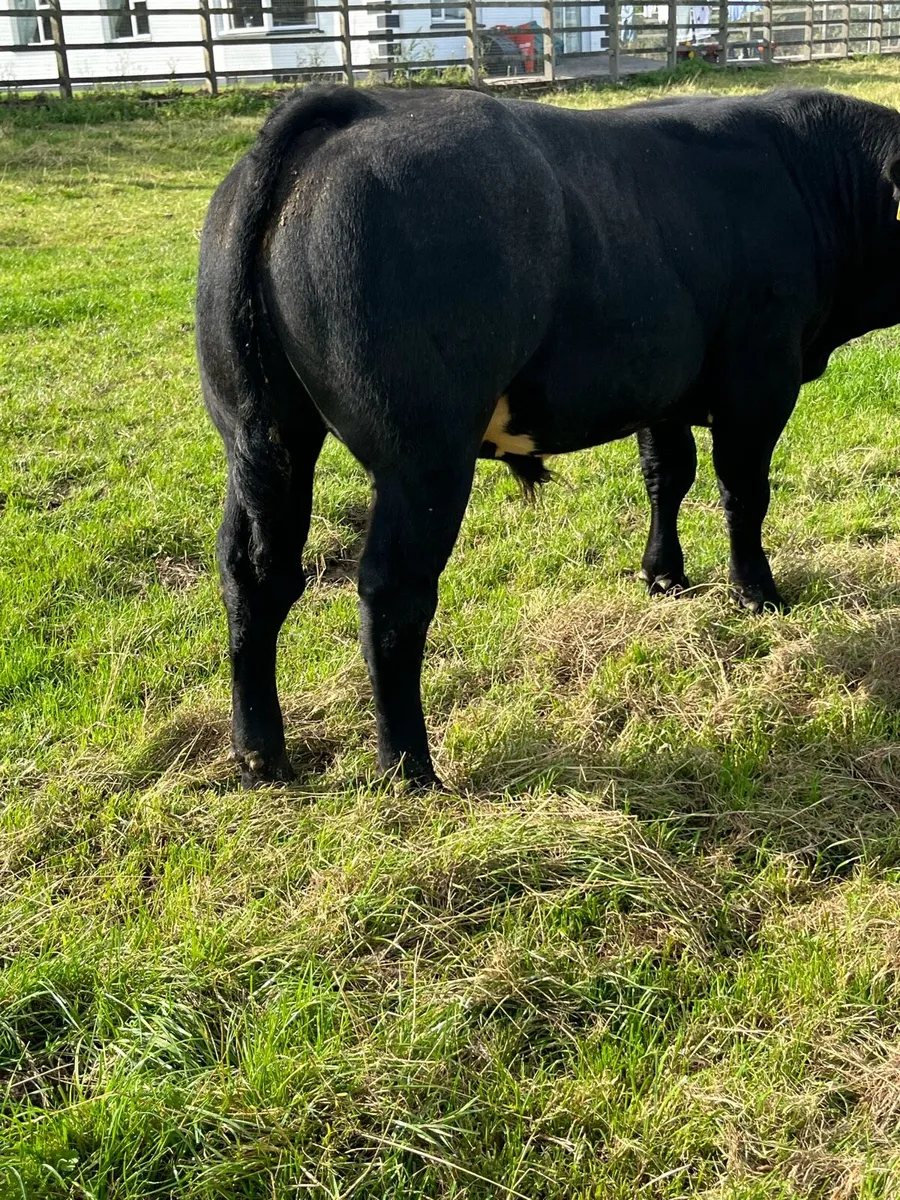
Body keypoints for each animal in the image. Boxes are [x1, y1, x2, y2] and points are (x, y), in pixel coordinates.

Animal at [196, 84, 900, 789]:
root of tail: (352, 109)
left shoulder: (660, 385)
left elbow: (668, 475)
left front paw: (664, 578)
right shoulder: (759, 378)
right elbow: (744, 493)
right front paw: (758, 595)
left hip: (261, 435)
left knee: (253, 572)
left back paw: (261, 756)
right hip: (423, 457)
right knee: (391, 592)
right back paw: (411, 766)